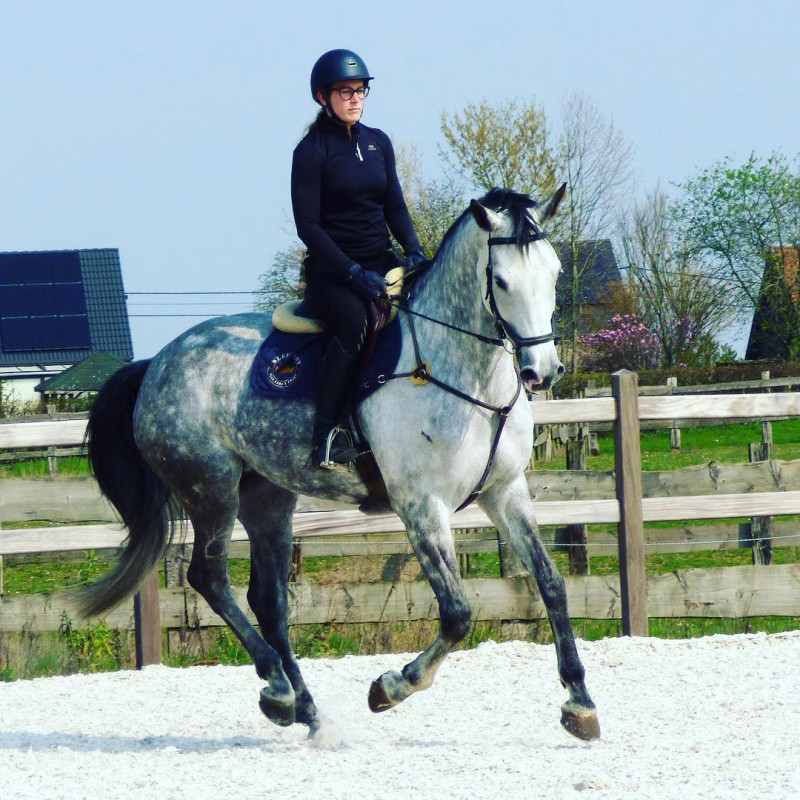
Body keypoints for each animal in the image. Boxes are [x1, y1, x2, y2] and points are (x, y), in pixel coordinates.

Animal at [82, 185, 600, 743]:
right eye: (500, 280)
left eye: (555, 272)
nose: (543, 371)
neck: (466, 377)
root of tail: (157, 364)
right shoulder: (422, 506)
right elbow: (457, 614)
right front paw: (390, 687)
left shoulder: (505, 492)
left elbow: (551, 583)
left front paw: (580, 702)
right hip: (211, 490)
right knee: (210, 579)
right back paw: (277, 689)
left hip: (267, 497)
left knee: (269, 601)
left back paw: (306, 711)